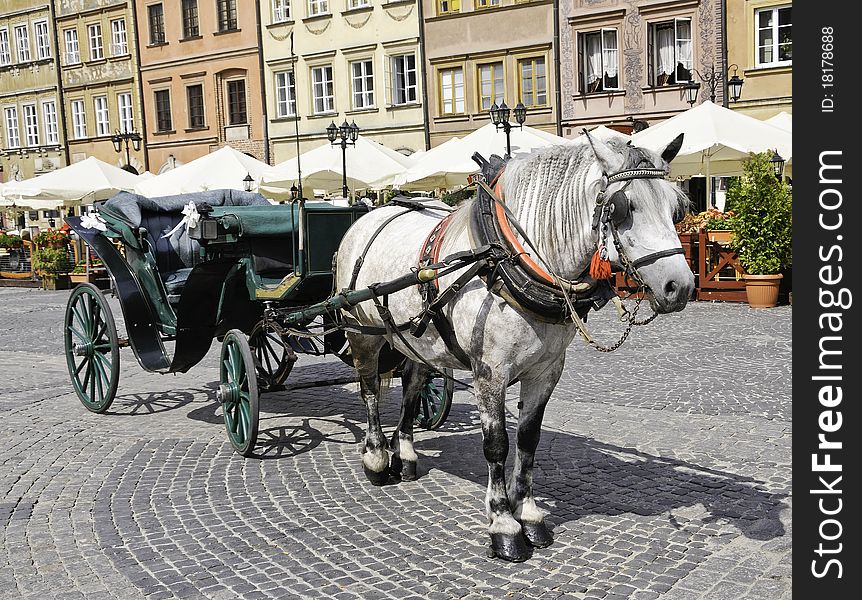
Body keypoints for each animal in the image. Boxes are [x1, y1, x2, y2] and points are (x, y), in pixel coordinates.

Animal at [332, 134, 696, 560]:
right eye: (623, 208)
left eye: (676, 207)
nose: (680, 287)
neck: (509, 257)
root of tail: (368, 217)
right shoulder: (490, 373)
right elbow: (497, 445)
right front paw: (504, 523)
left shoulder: (547, 371)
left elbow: (527, 439)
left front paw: (530, 514)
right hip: (363, 332)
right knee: (370, 390)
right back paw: (375, 457)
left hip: (417, 338)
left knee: (412, 386)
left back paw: (404, 454)